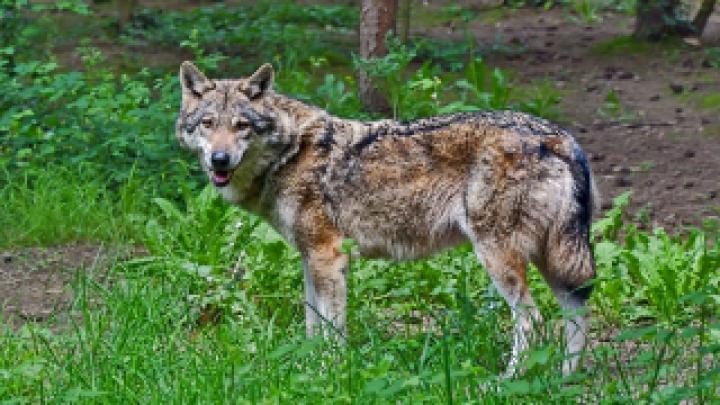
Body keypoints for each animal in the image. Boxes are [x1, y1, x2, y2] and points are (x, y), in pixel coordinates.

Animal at [176, 62, 598, 376]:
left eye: (241, 126)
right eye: (208, 124)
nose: (219, 160)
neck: (289, 152)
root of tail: (559, 136)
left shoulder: (329, 257)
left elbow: (332, 331)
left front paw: (329, 374)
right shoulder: (310, 259)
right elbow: (313, 325)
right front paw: (308, 370)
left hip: (500, 258)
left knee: (533, 321)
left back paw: (506, 381)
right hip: (553, 260)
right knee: (576, 314)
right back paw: (564, 379)